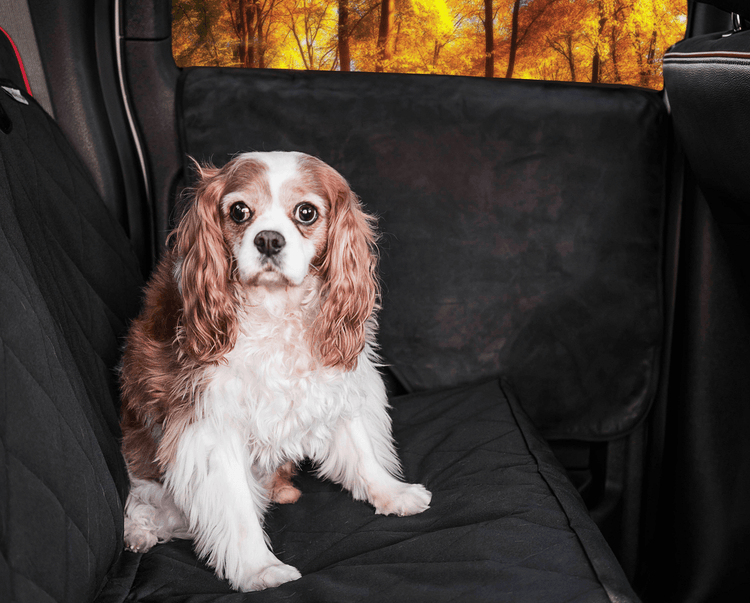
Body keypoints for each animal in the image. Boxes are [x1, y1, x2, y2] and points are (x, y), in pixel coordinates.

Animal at [119, 152, 432, 596]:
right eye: (239, 211)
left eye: (306, 212)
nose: (268, 239)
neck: (276, 307)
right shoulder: (211, 424)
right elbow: (235, 509)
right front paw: (259, 569)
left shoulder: (333, 381)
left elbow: (361, 447)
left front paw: (391, 493)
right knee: (142, 501)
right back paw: (139, 531)